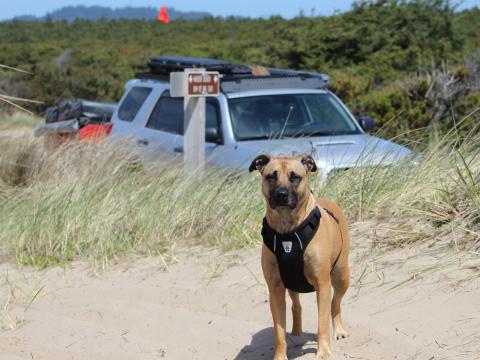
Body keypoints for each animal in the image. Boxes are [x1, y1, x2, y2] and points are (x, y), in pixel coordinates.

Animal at [249, 153, 350, 358]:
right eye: (271, 176)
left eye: (295, 176)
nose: (281, 194)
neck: (288, 231)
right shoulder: (275, 288)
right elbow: (279, 331)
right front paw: (280, 356)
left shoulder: (322, 284)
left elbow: (322, 323)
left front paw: (323, 351)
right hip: (291, 282)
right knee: (296, 304)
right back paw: (296, 332)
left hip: (341, 275)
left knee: (335, 303)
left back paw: (339, 330)